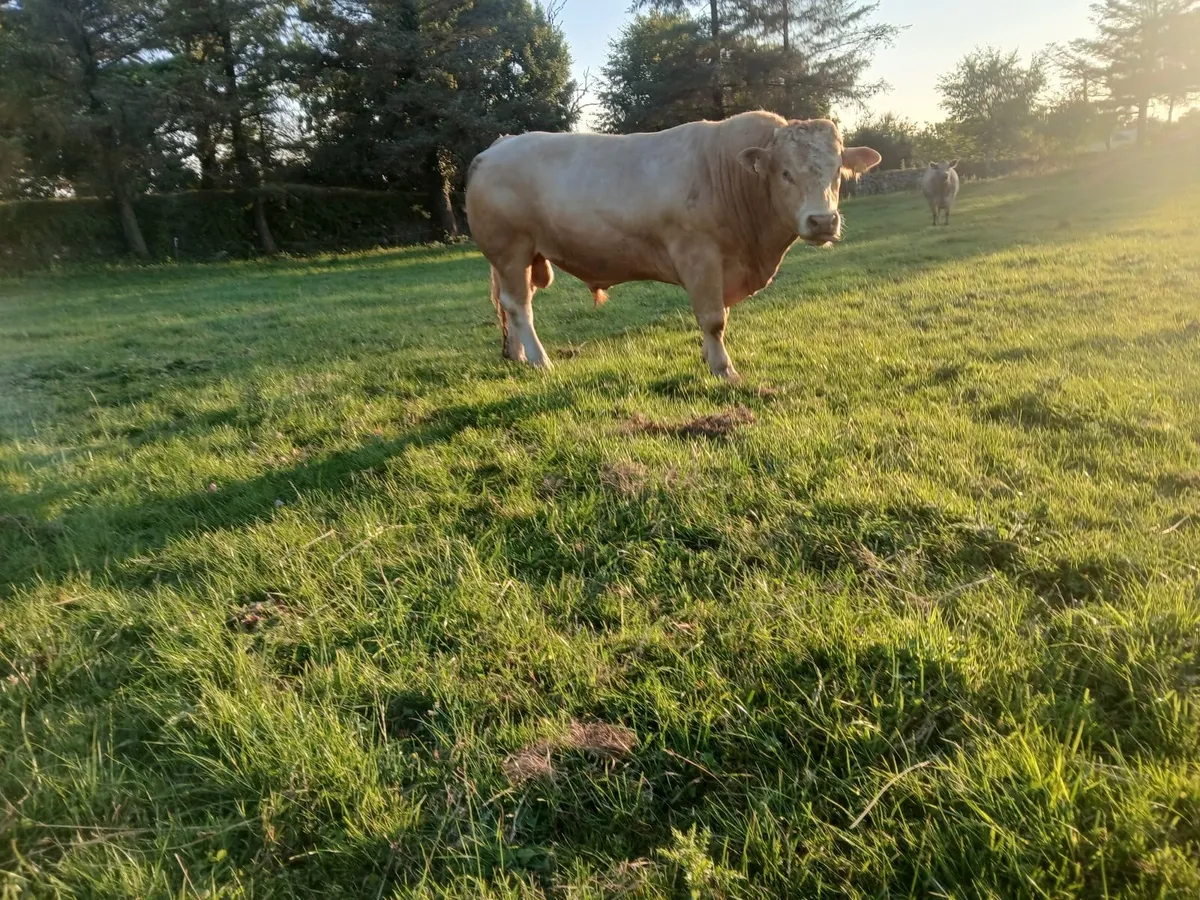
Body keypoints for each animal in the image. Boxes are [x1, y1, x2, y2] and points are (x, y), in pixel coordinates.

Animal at [464, 111, 881, 381]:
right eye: (785, 173)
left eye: (837, 171)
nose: (823, 221)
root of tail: (497, 147)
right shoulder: (699, 256)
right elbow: (714, 318)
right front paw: (723, 369)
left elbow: (715, 317)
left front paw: (708, 357)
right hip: (510, 249)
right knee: (519, 306)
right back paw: (540, 361)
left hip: (522, 257)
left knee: (513, 304)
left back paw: (518, 355)